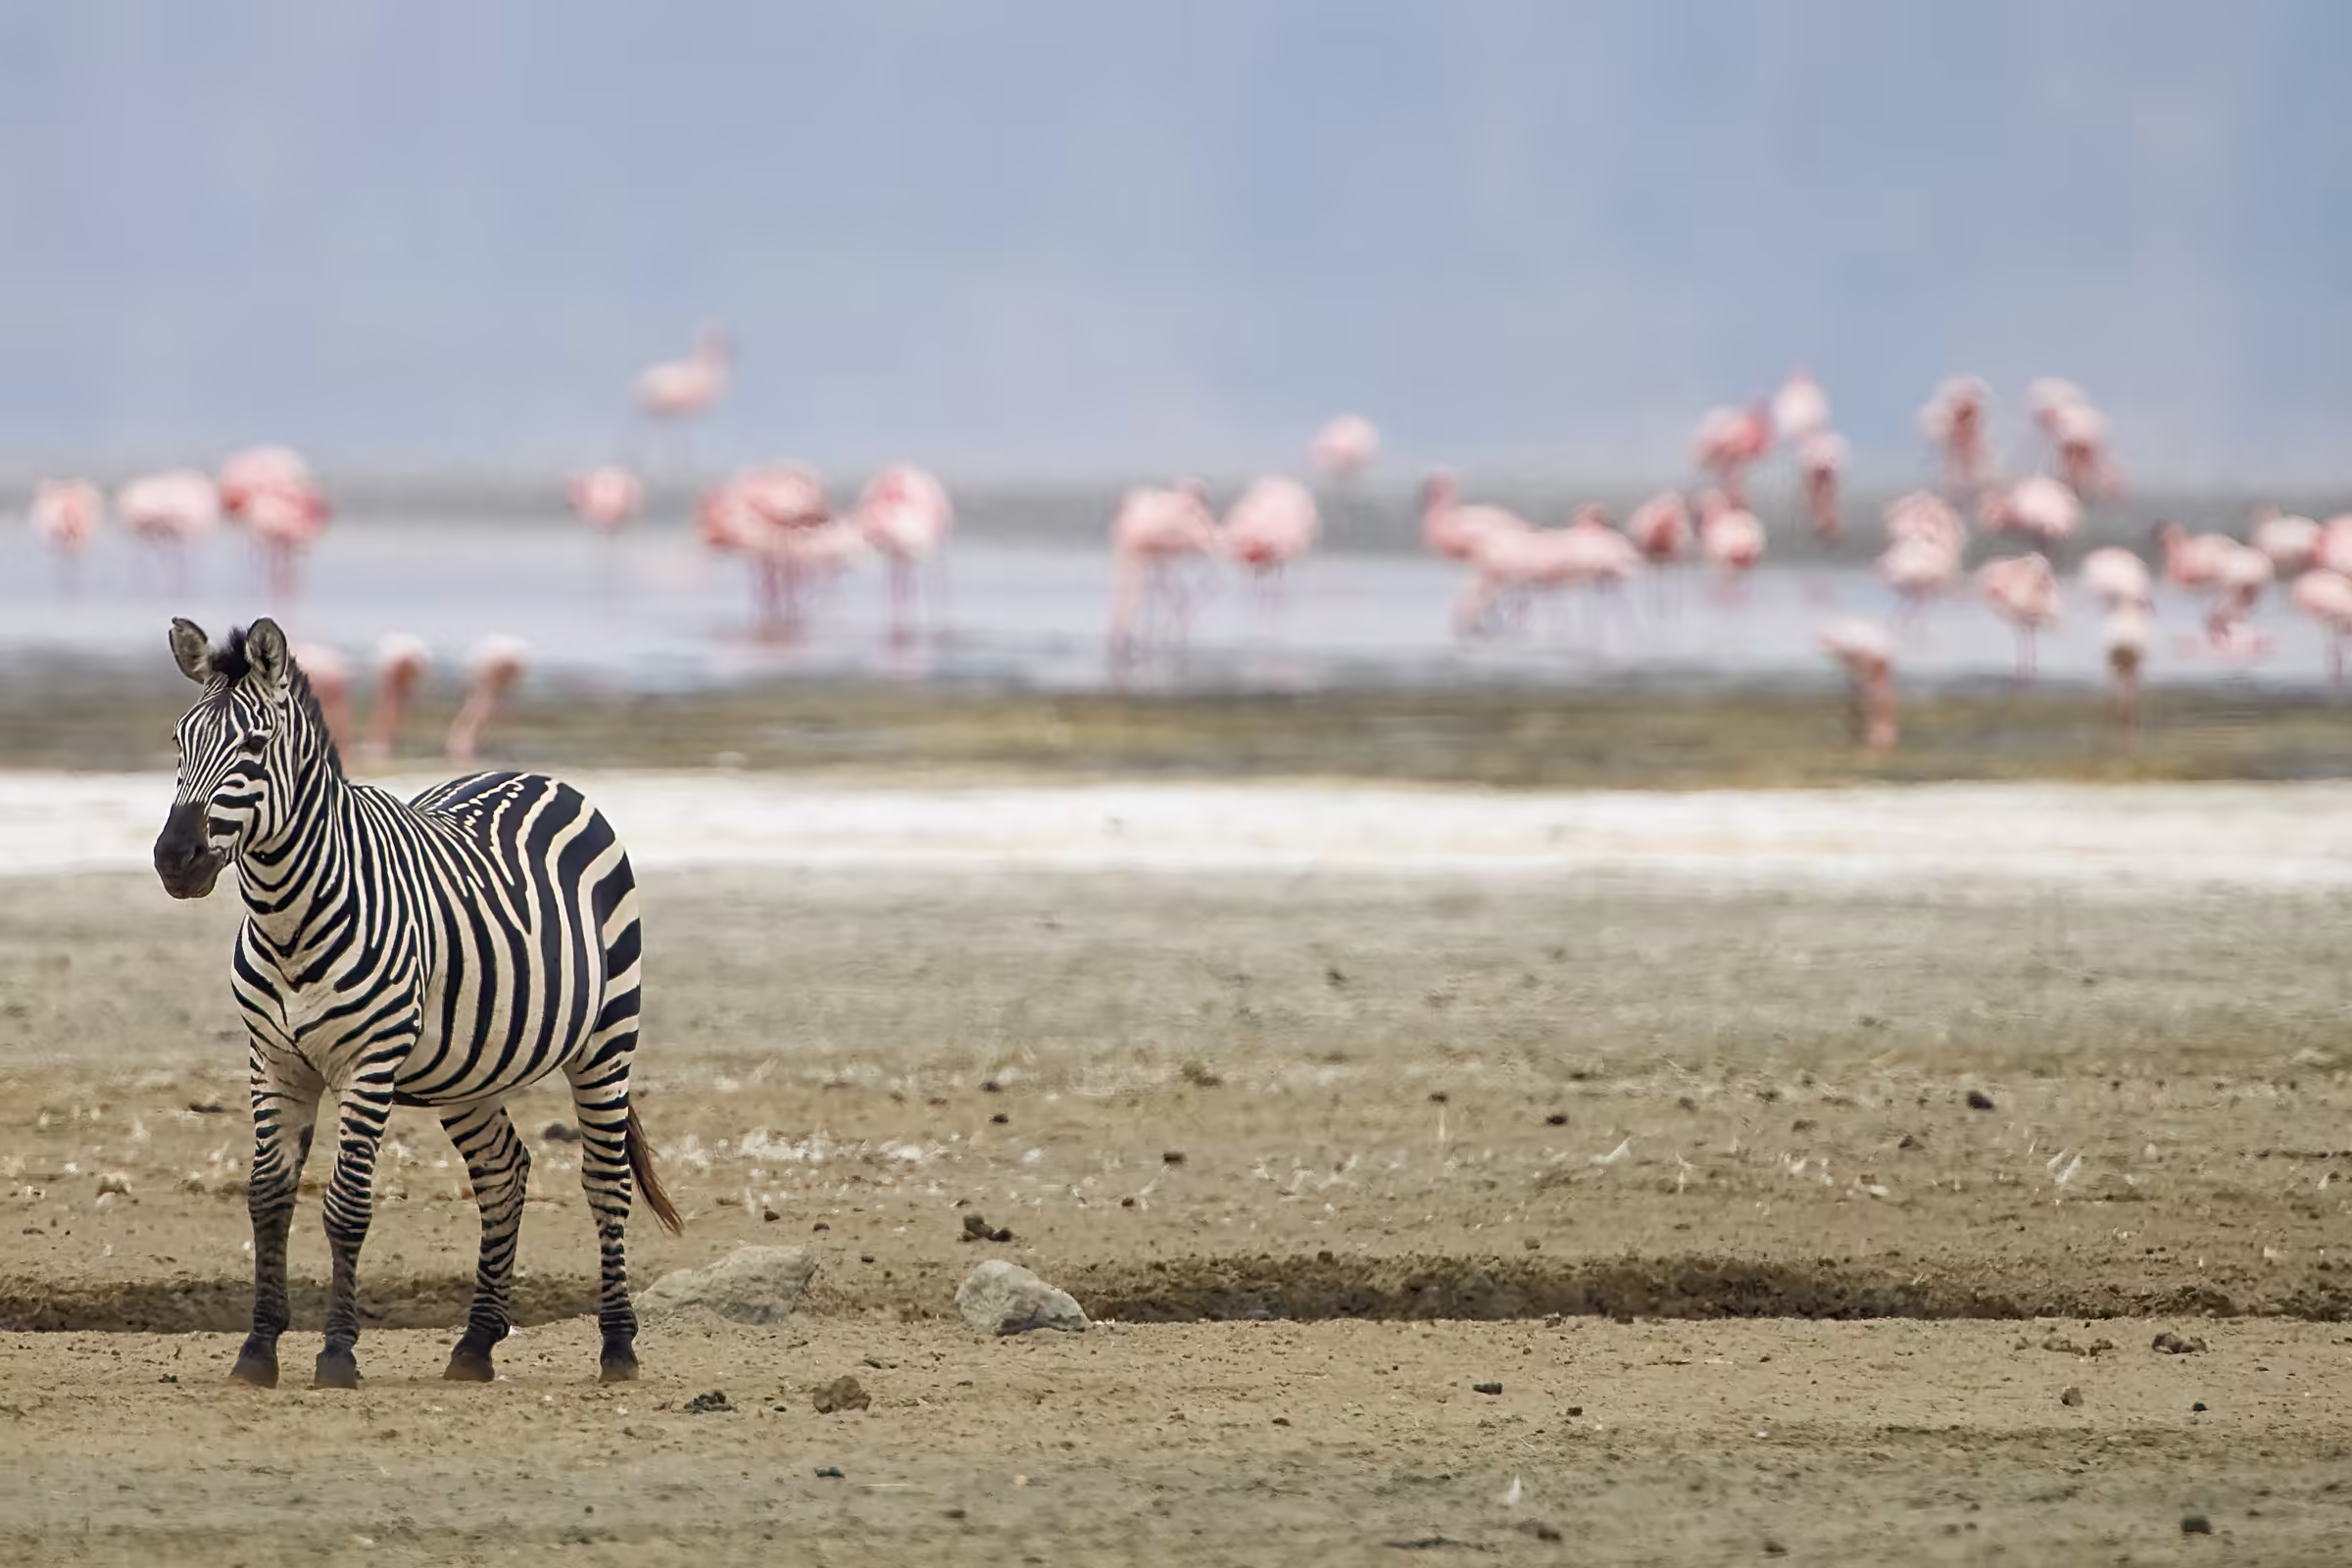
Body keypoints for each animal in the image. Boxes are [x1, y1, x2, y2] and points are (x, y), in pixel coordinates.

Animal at [150, 616, 681, 1389]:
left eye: (254, 745)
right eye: (178, 742)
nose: (175, 859)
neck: (287, 917)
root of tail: (538, 776)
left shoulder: (368, 1063)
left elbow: (346, 1206)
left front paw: (337, 1354)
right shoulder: (272, 1061)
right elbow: (267, 1200)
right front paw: (257, 1350)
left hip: (608, 1037)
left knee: (605, 1182)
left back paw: (617, 1348)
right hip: (468, 1071)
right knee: (503, 1174)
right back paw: (475, 1345)